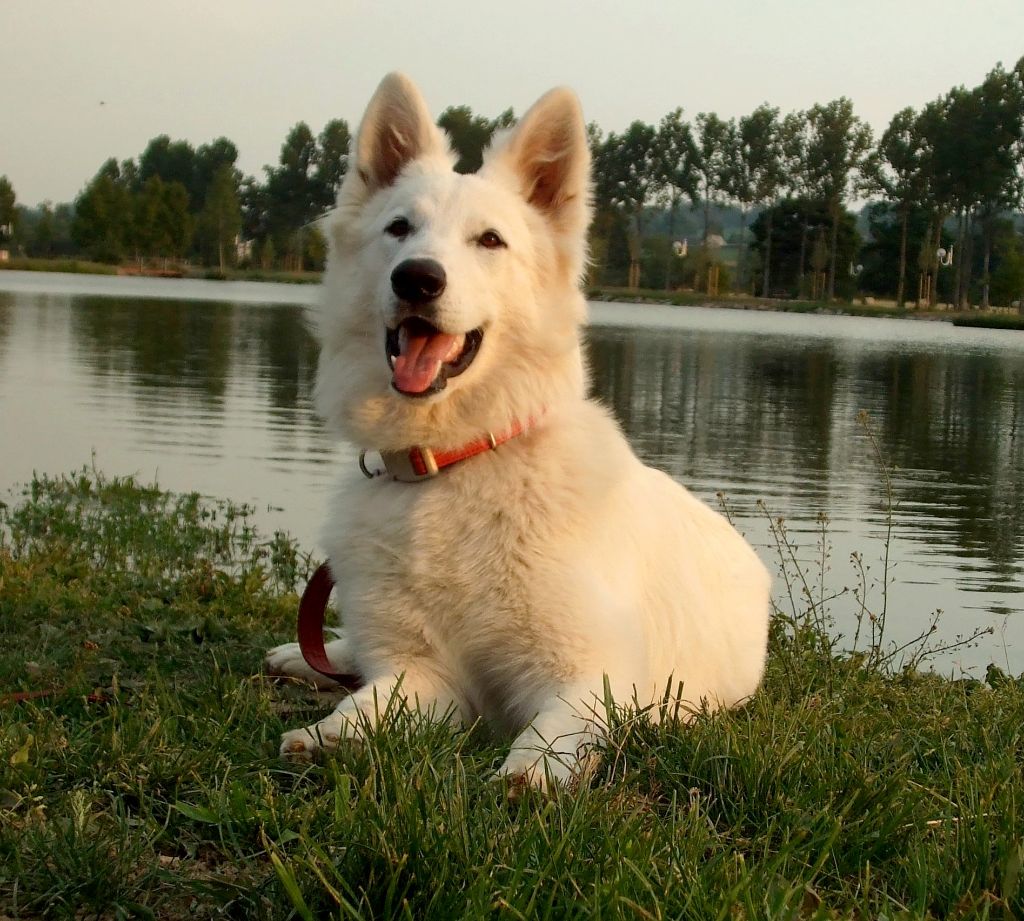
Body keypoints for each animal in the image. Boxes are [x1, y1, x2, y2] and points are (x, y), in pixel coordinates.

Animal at [264, 75, 770, 786]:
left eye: (490, 241)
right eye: (400, 228)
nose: (416, 278)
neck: (455, 463)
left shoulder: (594, 675)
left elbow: (554, 731)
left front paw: (528, 773)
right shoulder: (424, 673)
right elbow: (366, 702)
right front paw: (324, 734)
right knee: (354, 652)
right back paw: (304, 656)